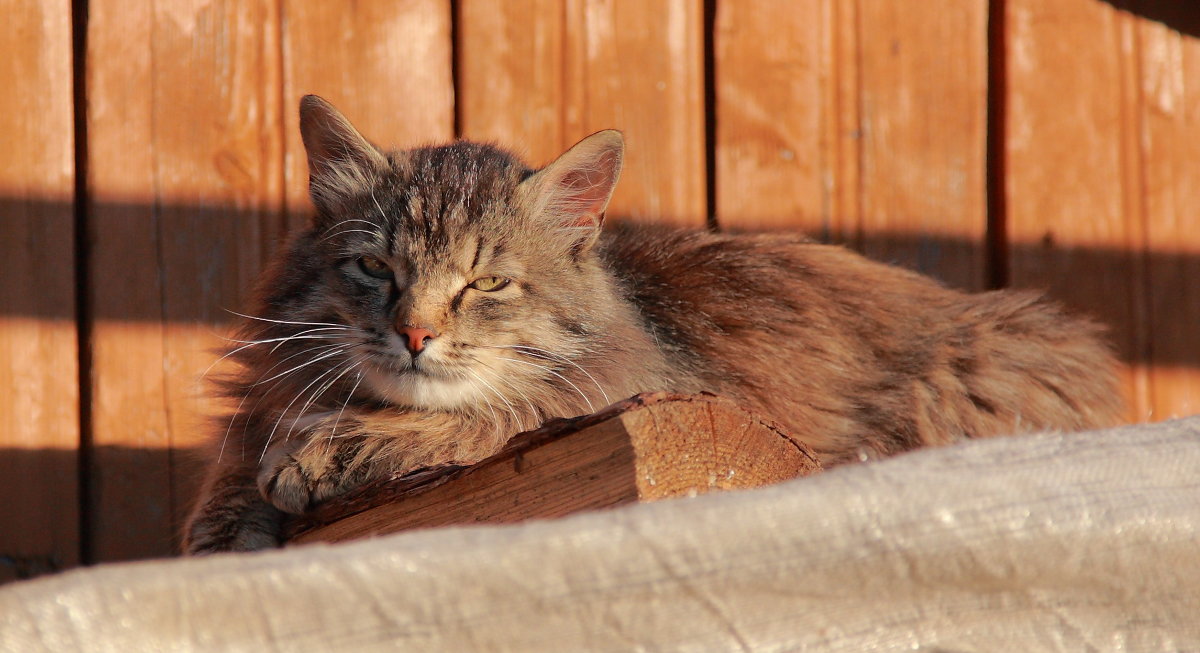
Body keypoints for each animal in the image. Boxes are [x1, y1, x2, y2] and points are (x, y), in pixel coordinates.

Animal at [180, 94, 1123, 554]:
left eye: (487, 283)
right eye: (376, 269)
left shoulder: (637, 390)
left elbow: (491, 411)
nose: (414, 334)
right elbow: (243, 446)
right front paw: (229, 520)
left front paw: (342, 445)